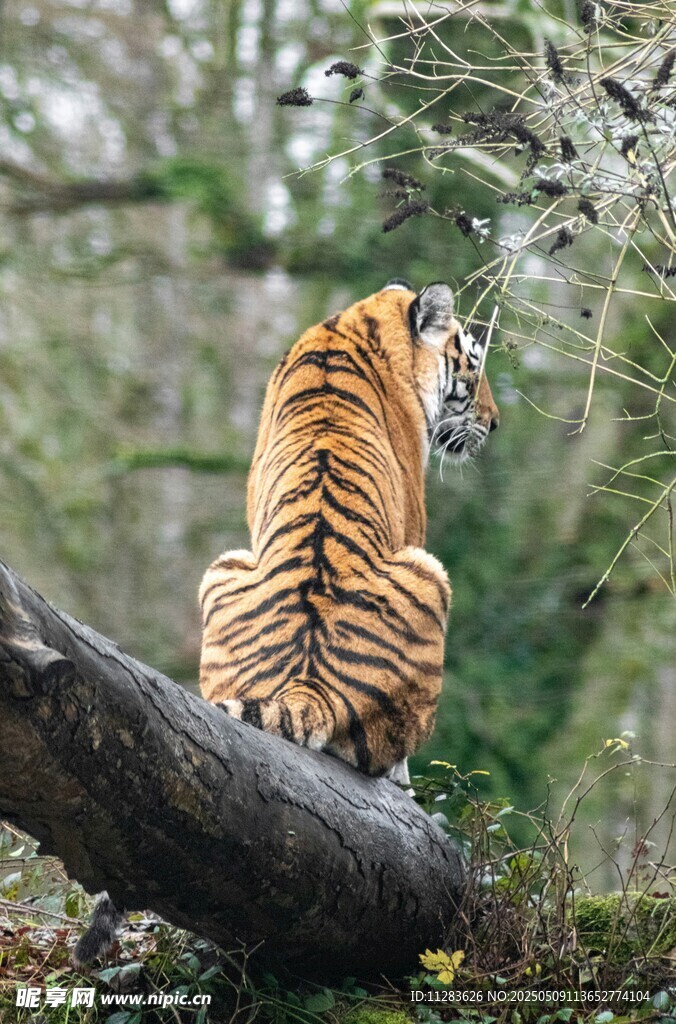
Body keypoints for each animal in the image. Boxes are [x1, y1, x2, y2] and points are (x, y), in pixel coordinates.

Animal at [199, 280, 499, 783]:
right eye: (473, 369)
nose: (495, 423)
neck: (356, 324)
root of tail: (307, 687)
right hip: (432, 572)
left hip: (221, 568)